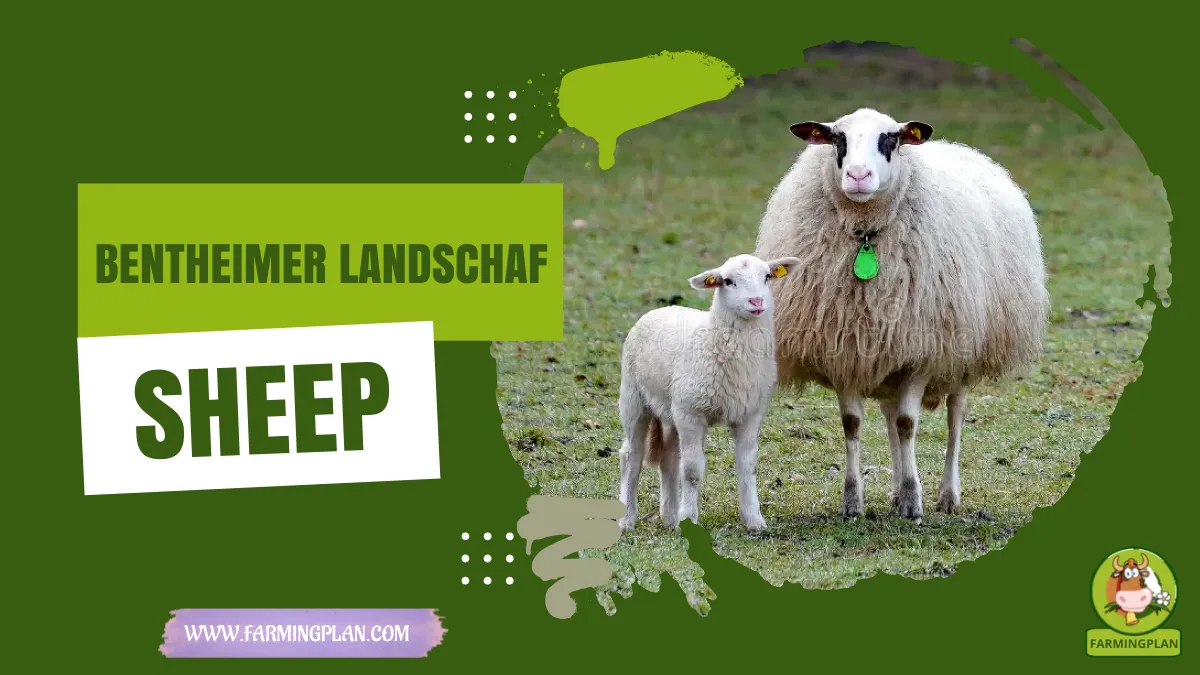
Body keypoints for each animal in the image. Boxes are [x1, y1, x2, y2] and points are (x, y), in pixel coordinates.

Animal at [616, 253, 801, 532]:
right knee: (631, 456)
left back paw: (670, 518)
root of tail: (663, 308)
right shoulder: (691, 414)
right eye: (728, 281)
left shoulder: (750, 414)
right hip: (634, 398)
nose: (756, 302)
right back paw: (627, 518)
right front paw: (689, 519)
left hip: (671, 409)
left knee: (669, 459)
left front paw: (754, 520)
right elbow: (692, 471)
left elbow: (748, 467)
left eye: (767, 276)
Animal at [754, 107, 1049, 521]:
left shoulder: (921, 352)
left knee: (954, 416)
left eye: (890, 139)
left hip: (961, 351)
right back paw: (894, 491)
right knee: (890, 417)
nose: (858, 176)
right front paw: (853, 501)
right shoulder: (847, 351)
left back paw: (946, 494)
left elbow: (909, 425)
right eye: (837, 138)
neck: (866, 237)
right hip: (887, 353)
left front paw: (913, 500)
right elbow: (854, 425)